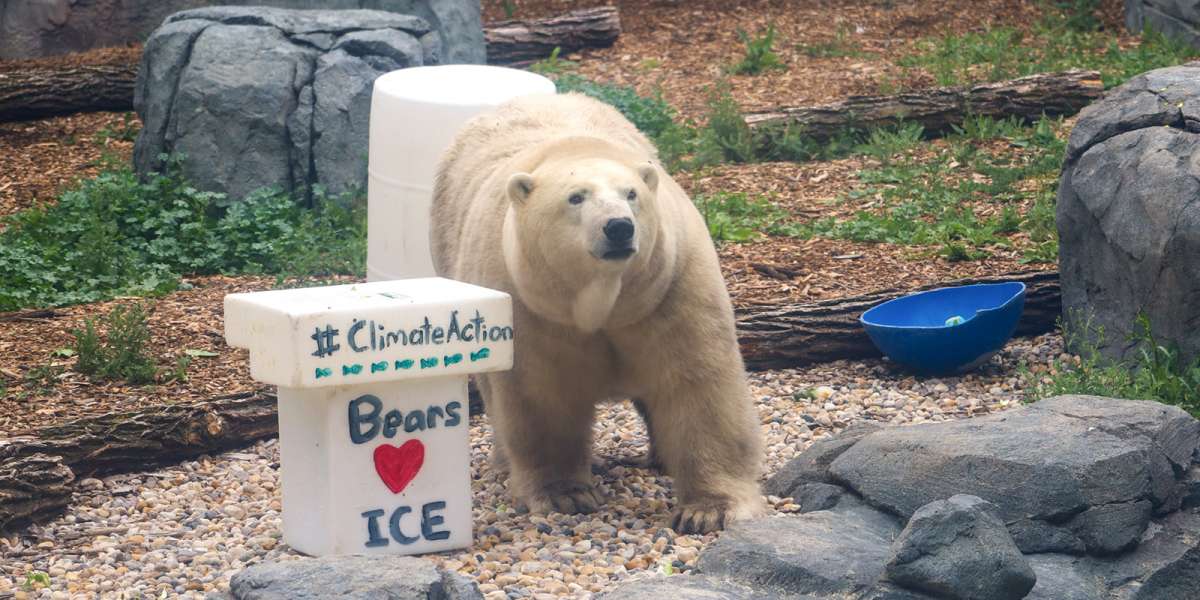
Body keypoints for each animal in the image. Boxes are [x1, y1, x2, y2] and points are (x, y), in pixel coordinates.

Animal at [430, 92, 765, 533]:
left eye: (631, 194)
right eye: (576, 197)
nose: (618, 227)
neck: (605, 303)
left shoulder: (672, 286)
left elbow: (698, 380)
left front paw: (708, 510)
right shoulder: (531, 304)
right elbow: (544, 393)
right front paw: (566, 495)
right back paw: (504, 464)